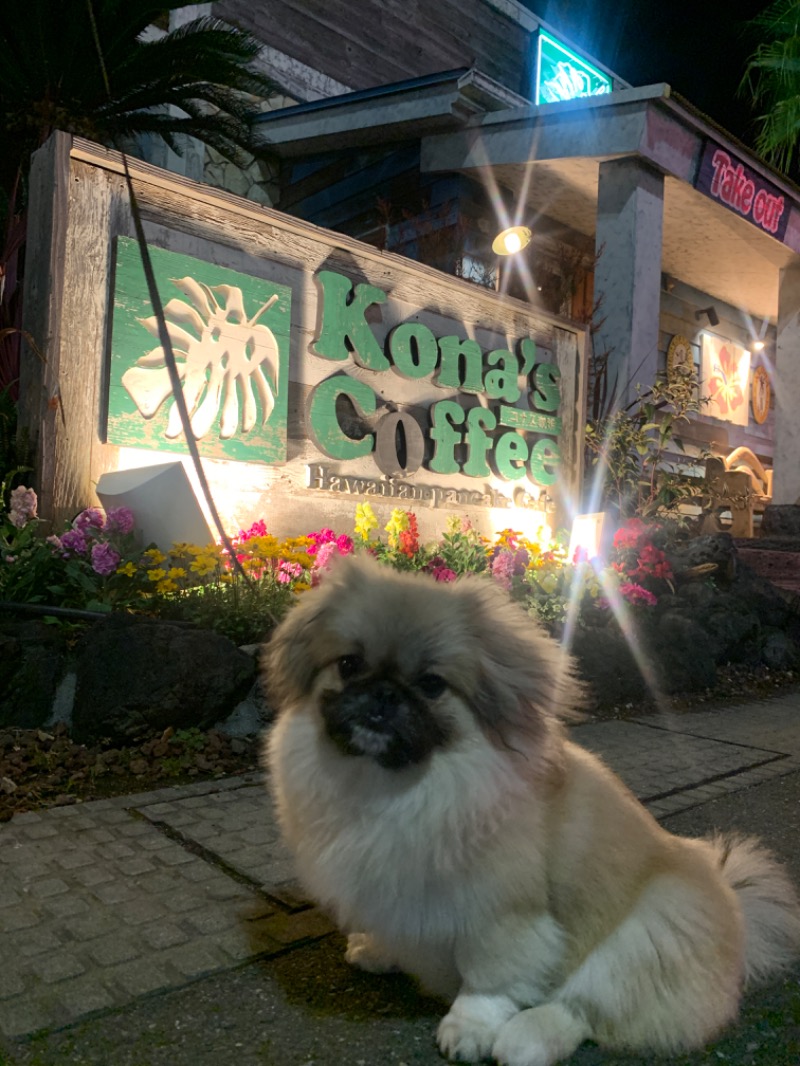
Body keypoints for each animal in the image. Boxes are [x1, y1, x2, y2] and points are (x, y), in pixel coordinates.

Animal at [264, 558, 800, 1066]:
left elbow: (490, 981)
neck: (395, 787)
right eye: (349, 665)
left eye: (432, 685)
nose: (382, 693)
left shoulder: (501, 913)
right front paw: (378, 948)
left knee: (586, 1006)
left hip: (656, 924)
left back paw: (524, 1039)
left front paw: (469, 1028)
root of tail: (736, 914)